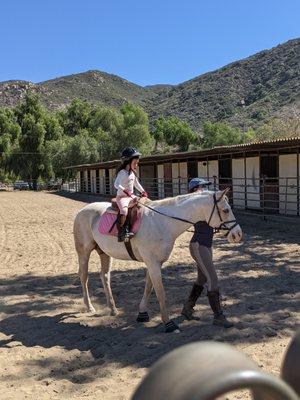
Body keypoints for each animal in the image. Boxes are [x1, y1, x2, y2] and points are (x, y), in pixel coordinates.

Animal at [74, 189, 243, 332]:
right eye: (226, 210)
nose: (238, 234)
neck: (163, 222)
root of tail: (82, 210)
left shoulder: (155, 262)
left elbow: (149, 287)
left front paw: (142, 314)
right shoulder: (153, 262)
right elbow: (161, 293)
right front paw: (168, 324)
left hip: (104, 253)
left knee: (105, 276)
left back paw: (113, 309)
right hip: (84, 252)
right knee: (84, 276)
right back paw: (89, 307)